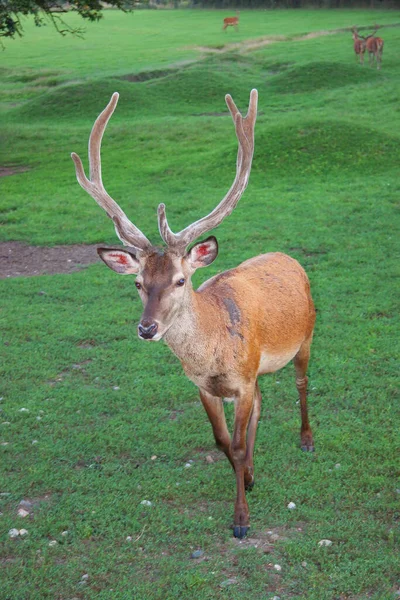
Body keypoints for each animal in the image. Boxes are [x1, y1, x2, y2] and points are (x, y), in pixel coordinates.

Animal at [71, 89, 316, 540]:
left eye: (181, 280)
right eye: (137, 283)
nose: (146, 328)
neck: (214, 354)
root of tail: (286, 255)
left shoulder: (242, 379)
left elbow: (236, 442)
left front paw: (241, 521)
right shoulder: (207, 386)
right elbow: (223, 443)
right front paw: (247, 479)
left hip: (306, 334)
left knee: (302, 382)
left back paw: (307, 439)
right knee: (262, 405)